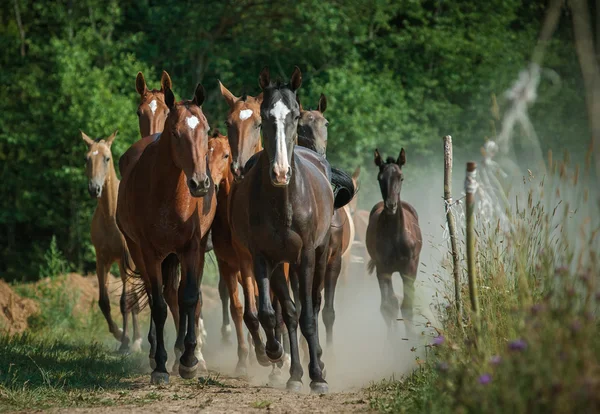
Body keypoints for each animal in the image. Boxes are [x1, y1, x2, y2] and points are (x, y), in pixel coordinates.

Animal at [81, 129, 142, 352]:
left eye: (107, 158)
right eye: (87, 158)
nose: (94, 189)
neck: (110, 216)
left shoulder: (125, 262)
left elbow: (124, 302)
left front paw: (126, 342)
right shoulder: (102, 261)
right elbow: (104, 302)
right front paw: (120, 335)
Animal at [116, 84, 217, 384]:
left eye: (206, 128)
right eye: (175, 132)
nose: (200, 183)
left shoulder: (191, 248)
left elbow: (189, 297)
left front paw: (189, 360)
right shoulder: (149, 253)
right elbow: (159, 305)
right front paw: (160, 365)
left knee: (178, 294)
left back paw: (183, 351)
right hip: (143, 253)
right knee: (158, 295)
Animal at [227, 66, 354, 392]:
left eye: (295, 115)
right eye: (264, 116)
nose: (281, 172)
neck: (285, 202)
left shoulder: (307, 256)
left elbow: (309, 314)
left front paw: (318, 376)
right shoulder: (265, 258)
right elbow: (276, 313)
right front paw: (279, 357)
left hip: (320, 258)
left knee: (315, 305)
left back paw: (318, 362)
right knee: (290, 310)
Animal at [366, 149, 422, 336]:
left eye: (401, 177)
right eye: (380, 178)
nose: (391, 205)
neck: (395, 236)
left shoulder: (409, 269)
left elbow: (407, 307)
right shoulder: (383, 270)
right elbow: (388, 307)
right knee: (392, 301)